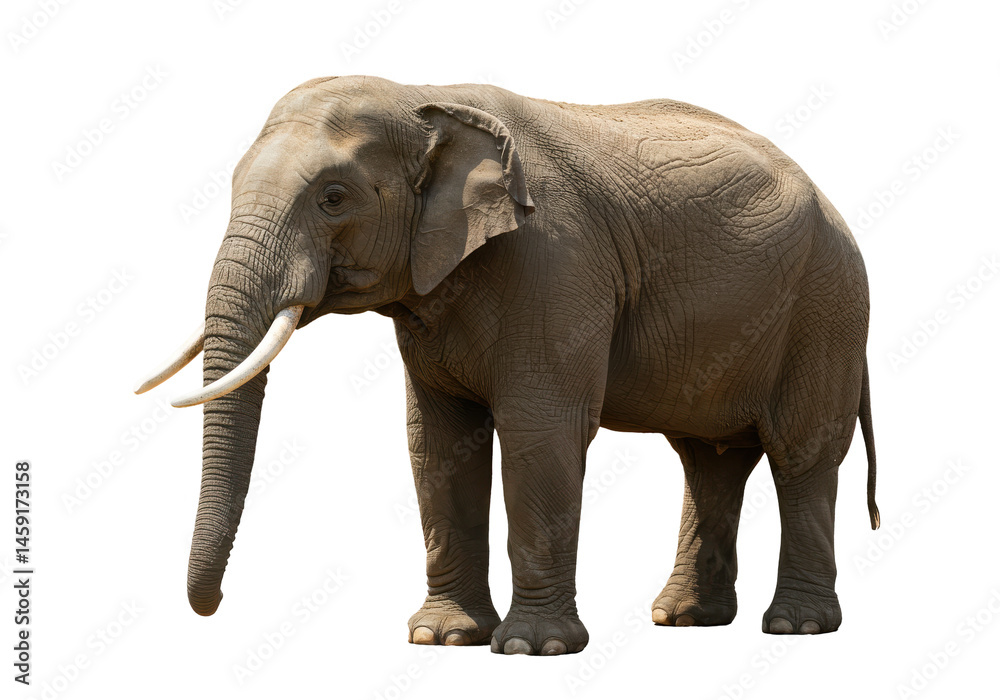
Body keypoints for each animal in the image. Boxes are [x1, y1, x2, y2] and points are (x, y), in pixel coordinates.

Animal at [136, 75, 880, 656]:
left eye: (334, 197)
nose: (212, 606)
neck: (425, 99)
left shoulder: (555, 262)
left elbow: (539, 431)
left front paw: (531, 647)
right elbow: (437, 442)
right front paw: (442, 639)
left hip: (826, 309)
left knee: (802, 454)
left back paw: (796, 628)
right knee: (711, 461)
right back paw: (683, 620)